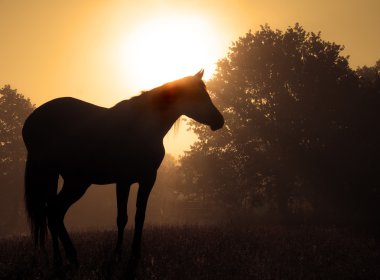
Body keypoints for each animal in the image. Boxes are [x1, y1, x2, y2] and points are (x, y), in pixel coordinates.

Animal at [22, 70, 224, 266]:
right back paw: (68, 257)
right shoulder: (128, 180)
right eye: (198, 94)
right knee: (54, 211)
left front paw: (132, 254)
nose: (219, 120)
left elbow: (138, 216)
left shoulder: (143, 180)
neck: (143, 126)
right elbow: (123, 218)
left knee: (53, 213)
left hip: (64, 178)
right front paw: (121, 254)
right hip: (76, 181)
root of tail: (30, 123)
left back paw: (62, 258)